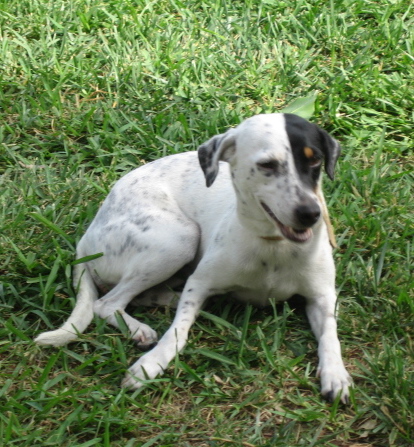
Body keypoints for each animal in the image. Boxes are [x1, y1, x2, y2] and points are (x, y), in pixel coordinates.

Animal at [36, 114, 352, 404]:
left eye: (316, 160)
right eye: (267, 165)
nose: (310, 214)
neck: (274, 247)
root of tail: (87, 236)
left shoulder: (322, 297)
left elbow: (330, 336)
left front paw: (336, 374)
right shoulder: (200, 283)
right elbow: (177, 332)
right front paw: (151, 364)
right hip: (179, 238)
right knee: (106, 303)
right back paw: (141, 327)